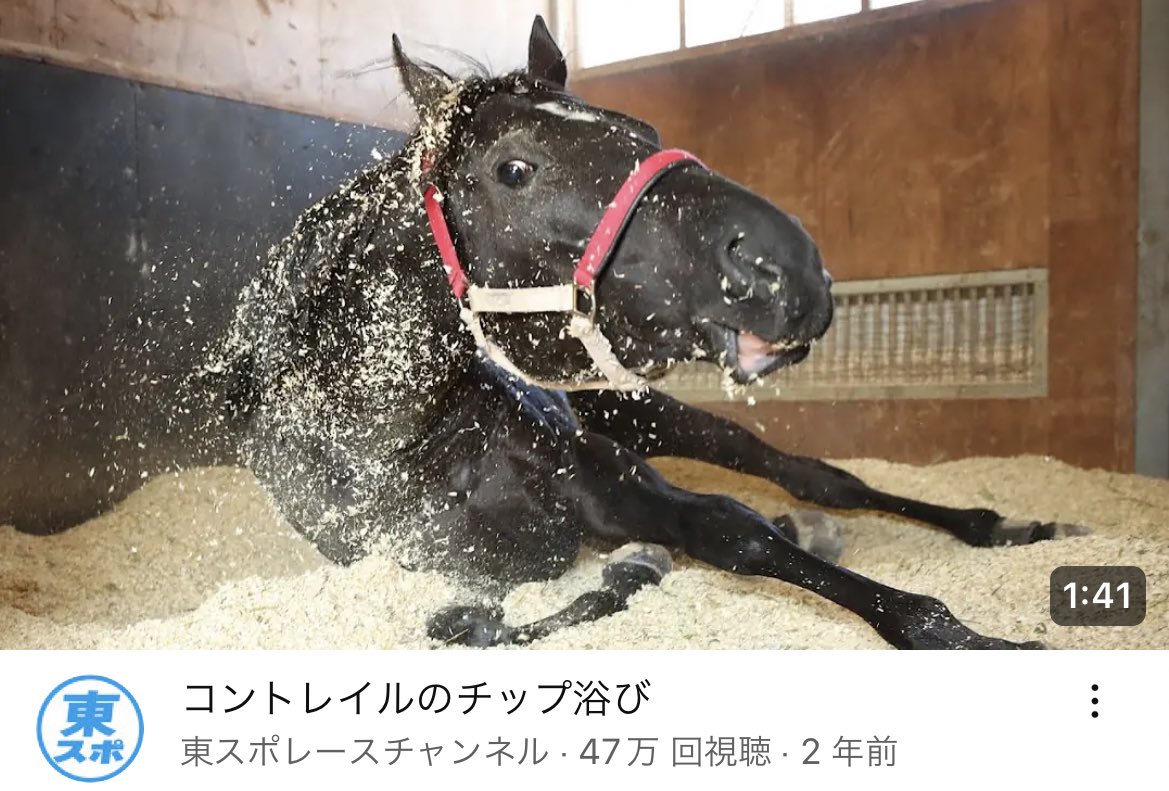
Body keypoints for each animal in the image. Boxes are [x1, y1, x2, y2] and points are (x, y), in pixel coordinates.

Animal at [0, 16, 1087, 649]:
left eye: (640, 135)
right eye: (514, 169)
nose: (790, 271)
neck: (399, 438)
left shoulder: (618, 486)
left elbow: (734, 530)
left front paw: (967, 634)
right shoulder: (427, 560)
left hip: (662, 420)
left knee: (816, 476)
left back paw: (1008, 525)